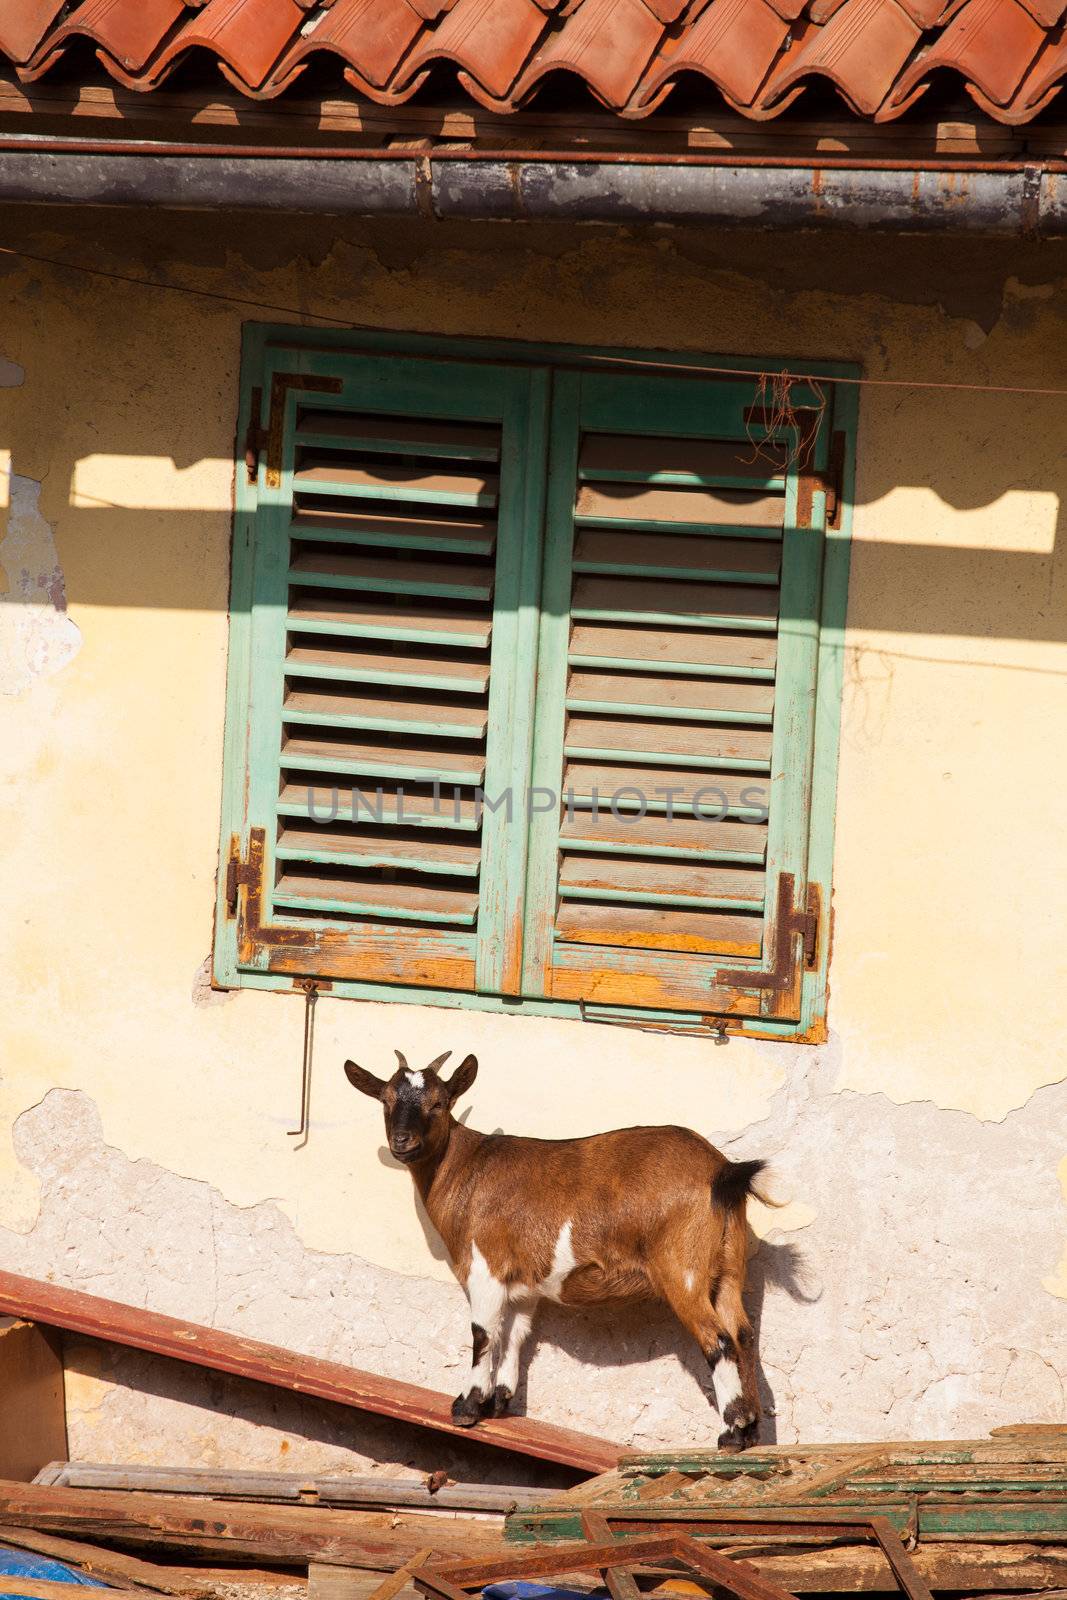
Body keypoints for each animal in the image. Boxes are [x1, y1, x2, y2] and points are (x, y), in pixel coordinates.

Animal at [347, 1049, 771, 1452]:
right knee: (743, 1335)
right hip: (728, 1268)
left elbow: (483, 1333)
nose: (403, 1141)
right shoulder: (522, 1283)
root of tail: (723, 1171)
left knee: (719, 1340)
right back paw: (750, 1431)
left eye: (439, 1103)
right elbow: (514, 1334)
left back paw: (730, 1434)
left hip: (683, 1272)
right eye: (385, 1100)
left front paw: (467, 1407)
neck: (467, 1168)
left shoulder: (485, 1265)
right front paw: (498, 1404)